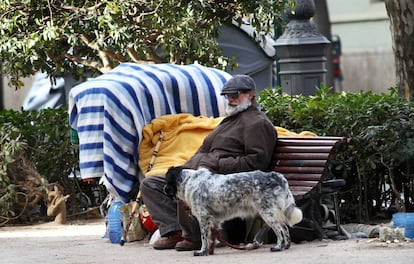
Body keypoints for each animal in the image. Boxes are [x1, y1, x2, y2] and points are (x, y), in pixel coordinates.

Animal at [163, 167, 302, 256]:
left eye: (166, 181)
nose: (164, 189)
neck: (190, 181)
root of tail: (275, 175)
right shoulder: (213, 220)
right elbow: (212, 238)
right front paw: (209, 251)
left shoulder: (203, 218)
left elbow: (204, 239)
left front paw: (202, 252)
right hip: (273, 212)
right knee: (285, 228)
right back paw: (286, 246)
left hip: (267, 213)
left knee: (279, 230)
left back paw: (278, 247)